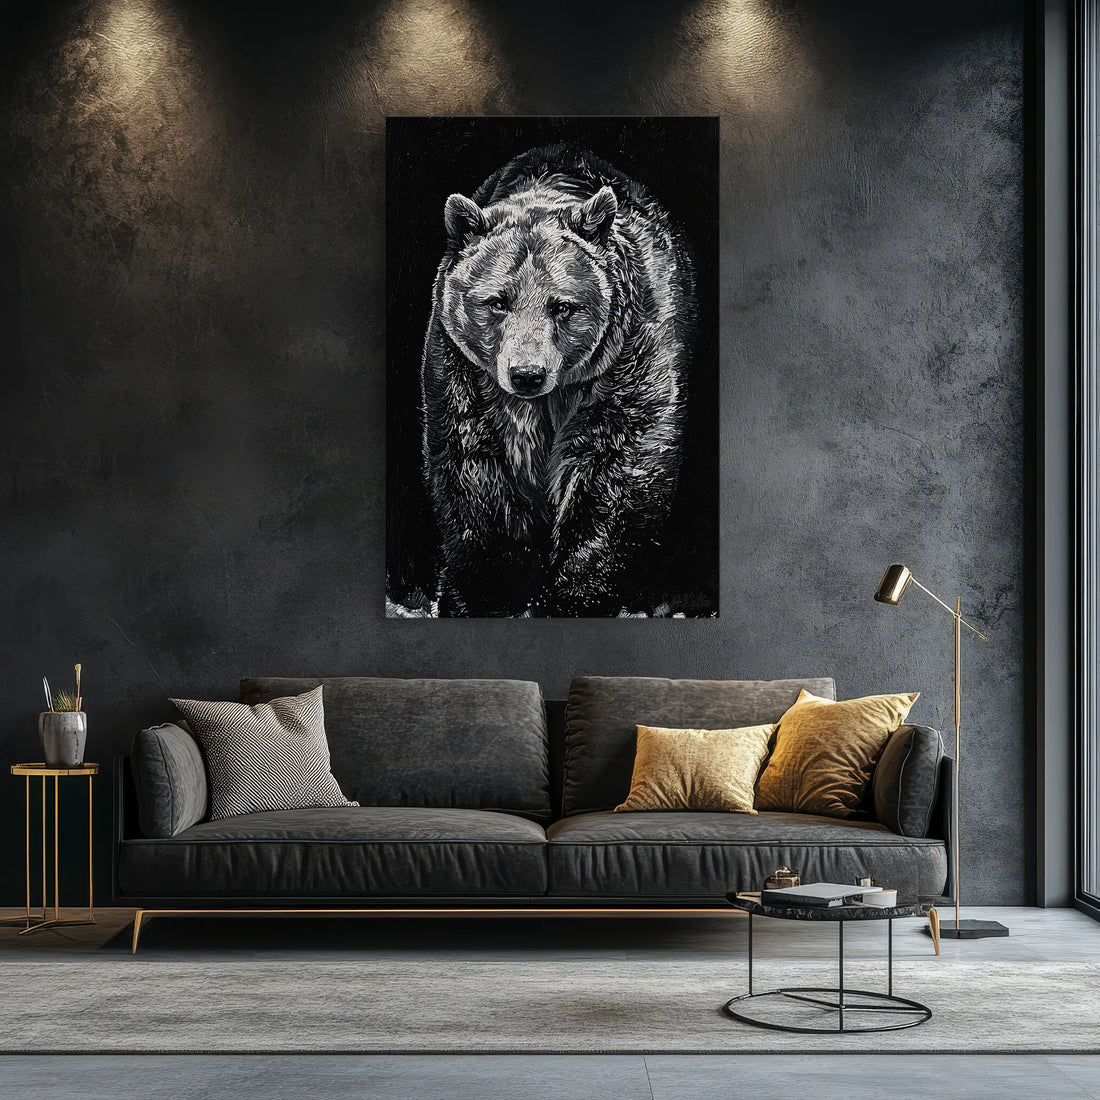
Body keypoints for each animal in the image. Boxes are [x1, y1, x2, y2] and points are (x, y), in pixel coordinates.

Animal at [420, 143, 697, 617]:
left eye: (562, 305)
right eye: (497, 302)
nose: (527, 374)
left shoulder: (628, 359)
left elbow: (615, 469)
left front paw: (569, 596)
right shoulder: (463, 369)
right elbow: (474, 469)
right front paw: (487, 590)